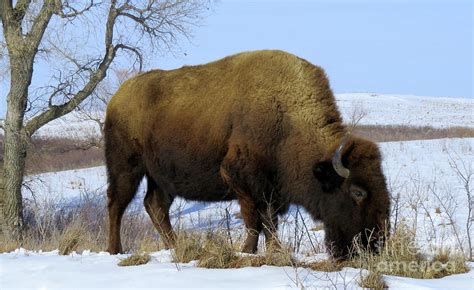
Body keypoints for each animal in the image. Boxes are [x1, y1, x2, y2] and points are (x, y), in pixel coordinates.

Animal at [105, 49, 390, 258]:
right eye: (358, 192)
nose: (375, 244)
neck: (288, 119)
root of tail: (117, 97)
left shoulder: (271, 189)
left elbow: (268, 220)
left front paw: (267, 251)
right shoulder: (242, 178)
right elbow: (258, 219)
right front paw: (251, 252)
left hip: (161, 178)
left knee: (155, 206)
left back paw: (175, 247)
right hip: (126, 167)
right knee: (117, 205)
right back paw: (115, 250)